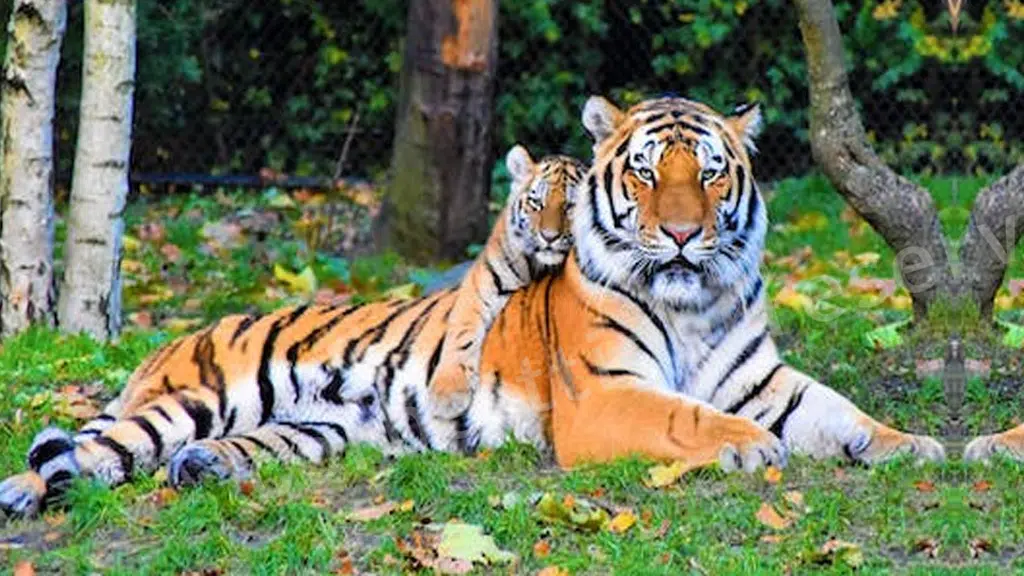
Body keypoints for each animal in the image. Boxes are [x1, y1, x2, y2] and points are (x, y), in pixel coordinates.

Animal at [429, 145, 584, 419]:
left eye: (569, 206)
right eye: (537, 203)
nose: (549, 237)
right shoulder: (481, 284)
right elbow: (461, 331)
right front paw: (446, 394)